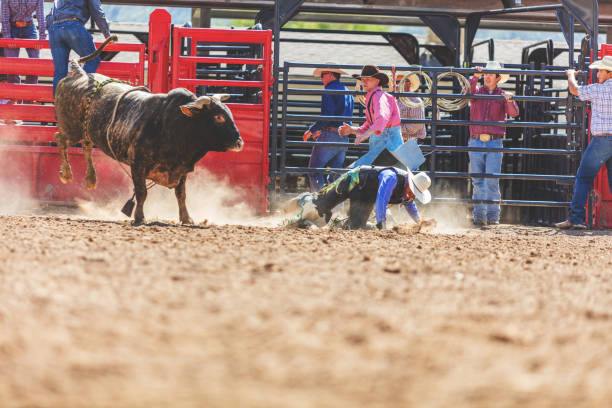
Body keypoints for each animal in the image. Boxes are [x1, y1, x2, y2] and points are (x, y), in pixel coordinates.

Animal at [53, 52, 244, 226]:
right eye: (218, 117)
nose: (239, 142)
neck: (175, 124)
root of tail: (79, 74)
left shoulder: (181, 168)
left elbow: (181, 194)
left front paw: (186, 218)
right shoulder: (138, 165)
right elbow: (141, 193)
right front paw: (139, 217)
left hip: (87, 132)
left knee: (86, 146)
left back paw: (91, 179)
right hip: (71, 129)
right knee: (60, 139)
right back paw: (66, 173)